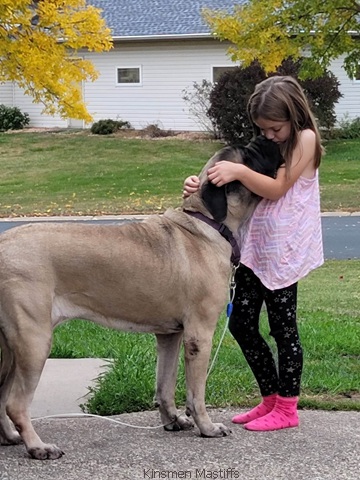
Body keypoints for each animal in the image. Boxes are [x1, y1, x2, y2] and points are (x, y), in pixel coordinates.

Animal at [0, 133, 282, 460]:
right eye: (248, 155)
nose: (266, 138)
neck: (208, 222)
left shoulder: (171, 335)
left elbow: (165, 384)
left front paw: (173, 420)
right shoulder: (199, 335)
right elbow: (196, 392)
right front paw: (207, 427)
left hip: (11, 346)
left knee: (0, 394)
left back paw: (10, 437)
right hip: (34, 340)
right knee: (16, 403)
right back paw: (38, 446)